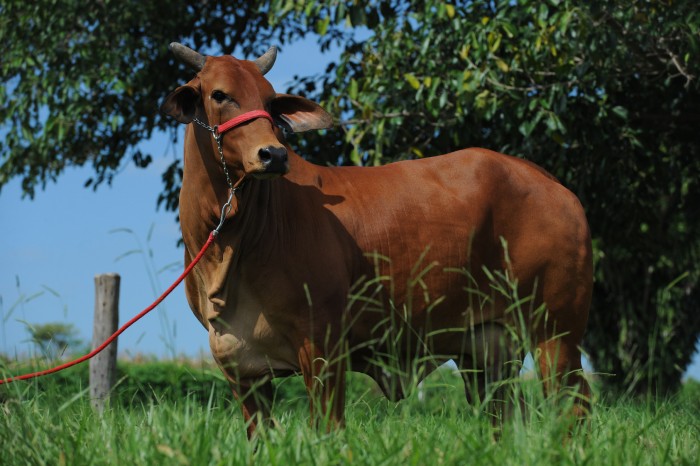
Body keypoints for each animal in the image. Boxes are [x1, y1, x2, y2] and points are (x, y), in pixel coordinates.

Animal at [163, 42, 592, 436]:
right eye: (219, 94)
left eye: (270, 101)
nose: (274, 155)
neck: (230, 240)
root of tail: (550, 183)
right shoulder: (240, 364)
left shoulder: (322, 342)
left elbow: (327, 426)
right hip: (488, 352)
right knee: (504, 417)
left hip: (555, 331)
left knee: (574, 404)